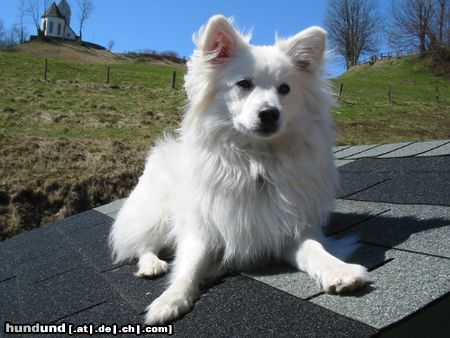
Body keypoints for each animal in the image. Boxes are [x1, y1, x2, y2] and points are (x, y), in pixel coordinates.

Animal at [108, 15, 366, 324]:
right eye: (243, 84)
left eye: (285, 89)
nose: (270, 113)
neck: (256, 161)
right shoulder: (201, 227)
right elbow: (188, 267)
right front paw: (170, 300)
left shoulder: (288, 229)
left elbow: (315, 250)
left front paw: (339, 271)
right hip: (158, 214)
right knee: (143, 243)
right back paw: (152, 264)